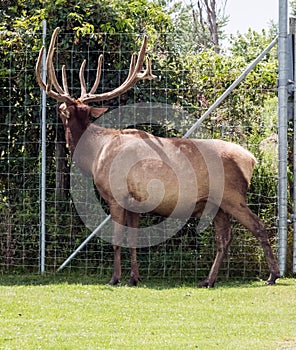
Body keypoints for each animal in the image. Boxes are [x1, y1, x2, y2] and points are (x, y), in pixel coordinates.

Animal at [35, 28, 280, 288]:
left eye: (62, 111)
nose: (56, 111)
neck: (95, 156)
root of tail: (250, 160)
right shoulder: (134, 202)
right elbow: (132, 239)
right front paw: (134, 277)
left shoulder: (116, 195)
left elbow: (116, 239)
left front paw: (115, 278)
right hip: (217, 204)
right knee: (225, 238)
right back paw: (208, 280)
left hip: (233, 196)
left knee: (258, 227)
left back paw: (272, 275)